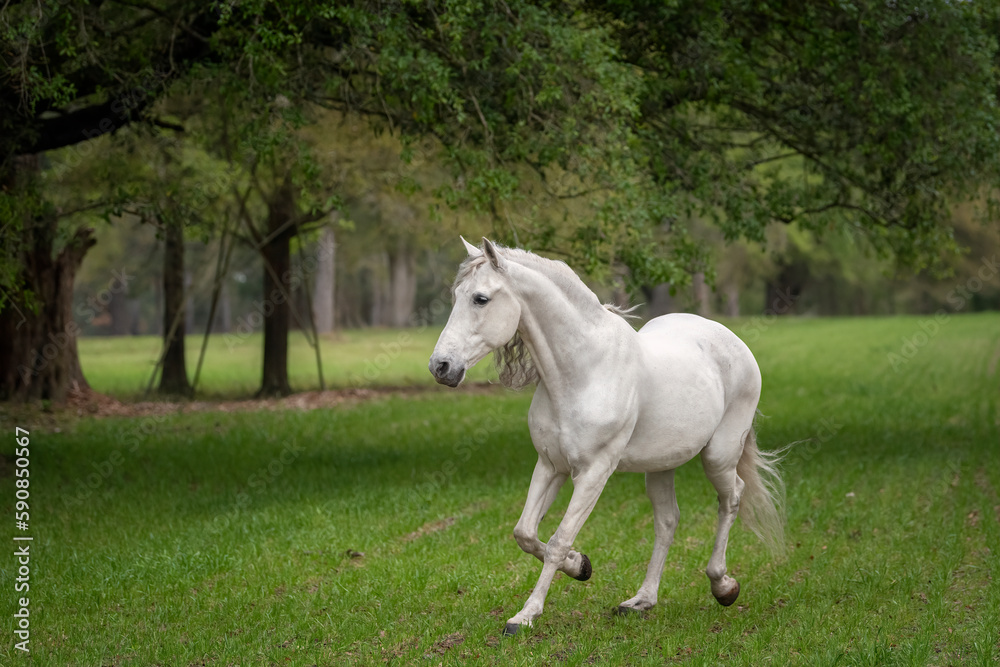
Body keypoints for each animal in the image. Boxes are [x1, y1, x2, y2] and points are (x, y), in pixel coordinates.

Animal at [426, 237, 784, 636]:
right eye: (457, 295)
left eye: (481, 299)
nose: (440, 367)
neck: (583, 371)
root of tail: (733, 342)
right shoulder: (550, 466)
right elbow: (525, 533)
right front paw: (581, 565)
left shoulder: (593, 473)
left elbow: (557, 540)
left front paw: (526, 615)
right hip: (661, 465)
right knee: (668, 521)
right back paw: (641, 601)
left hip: (718, 456)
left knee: (732, 497)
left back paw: (723, 586)